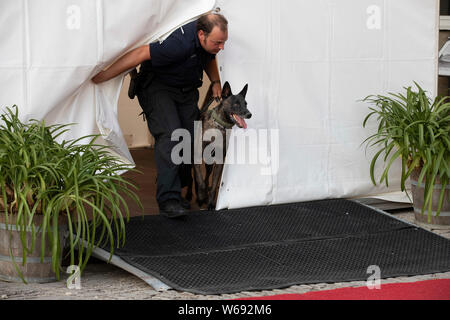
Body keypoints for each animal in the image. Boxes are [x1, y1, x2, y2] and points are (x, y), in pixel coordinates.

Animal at [189, 81, 253, 210]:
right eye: (236, 104)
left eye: (246, 104)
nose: (249, 114)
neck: (218, 127)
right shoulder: (196, 158)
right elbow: (200, 181)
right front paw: (202, 196)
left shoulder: (219, 162)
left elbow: (213, 185)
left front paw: (209, 203)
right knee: (195, 179)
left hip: (209, 163)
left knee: (206, 176)